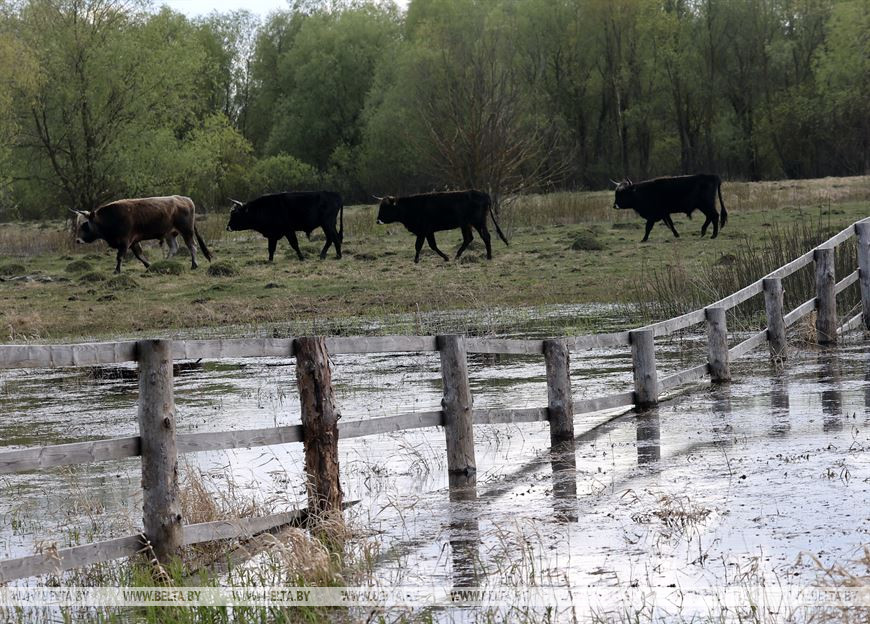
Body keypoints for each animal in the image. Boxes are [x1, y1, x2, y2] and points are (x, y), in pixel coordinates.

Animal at [72, 195, 212, 272]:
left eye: (84, 224)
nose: (78, 240)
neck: (110, 218)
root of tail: (185, 199)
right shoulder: (133, 242)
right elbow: (139, 255)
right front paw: (149, 265)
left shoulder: (125, 241)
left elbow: (120, 257)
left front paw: (117, 270)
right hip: (170, 234)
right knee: (174, 248)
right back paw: (165, 262)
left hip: (186, 231)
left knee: (192, 246)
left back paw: (194, 264)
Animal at [376, 188, 510, 260]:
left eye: (385, 208)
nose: (377, 220)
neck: (411, 207)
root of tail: (484, 194)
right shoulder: (428, 231)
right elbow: (432, 245)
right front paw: (445, 257)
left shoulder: (423, 230)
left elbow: (419, 245)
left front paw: (416, 260)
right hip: (467, 224)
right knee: (469, 238)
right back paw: (457, 256)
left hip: (477, 222)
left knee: (485, 237)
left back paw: (488, 256)